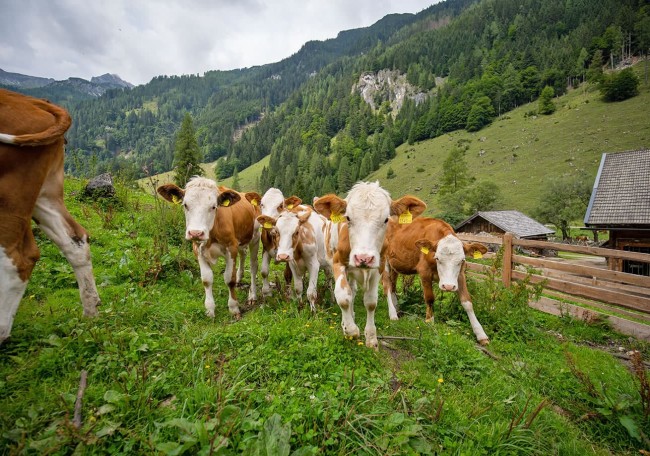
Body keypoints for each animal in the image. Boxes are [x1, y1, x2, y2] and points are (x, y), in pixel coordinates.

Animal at [0, 88, 101, 344]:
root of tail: (33, 101)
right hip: (45, 194)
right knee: (75, 239)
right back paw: (91, 311)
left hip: (11, 195)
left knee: (17, 259)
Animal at [157, 177, 260, 319]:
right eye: (185, 205)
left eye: (213, 206)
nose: (196, 233)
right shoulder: (198, 251)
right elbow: (206, 279)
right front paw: (210, 309)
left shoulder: (231, 248)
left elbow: (229, 279)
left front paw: (233, 307)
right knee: (243, 254)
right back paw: (240, 277)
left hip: (255, 238)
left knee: (253, 266)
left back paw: (252, 295)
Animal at [314, 181, 426, 348]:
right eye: (348, 218)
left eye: (386, 219)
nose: (363, 258)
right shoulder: (337, 262)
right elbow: (343, 297)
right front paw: (350, 329)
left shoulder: (379, 266)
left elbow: (371, 301)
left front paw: (371, 338)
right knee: (348, 291)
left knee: (354, 289)